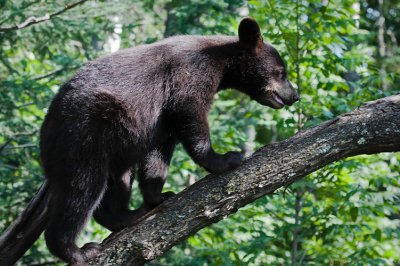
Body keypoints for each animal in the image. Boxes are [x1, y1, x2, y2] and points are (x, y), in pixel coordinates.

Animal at [39, 17, 298, 264]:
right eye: (282, 71)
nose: (295, 96)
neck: (223, 62)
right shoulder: (189, 72)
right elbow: (190, 111)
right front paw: (225, 158)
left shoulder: (159, 120)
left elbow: (158, 152)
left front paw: (159, 195)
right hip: (84, 133)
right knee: (83, 188)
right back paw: (77, 251)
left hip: (117, 142)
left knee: (118, 179)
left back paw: (126, 216)